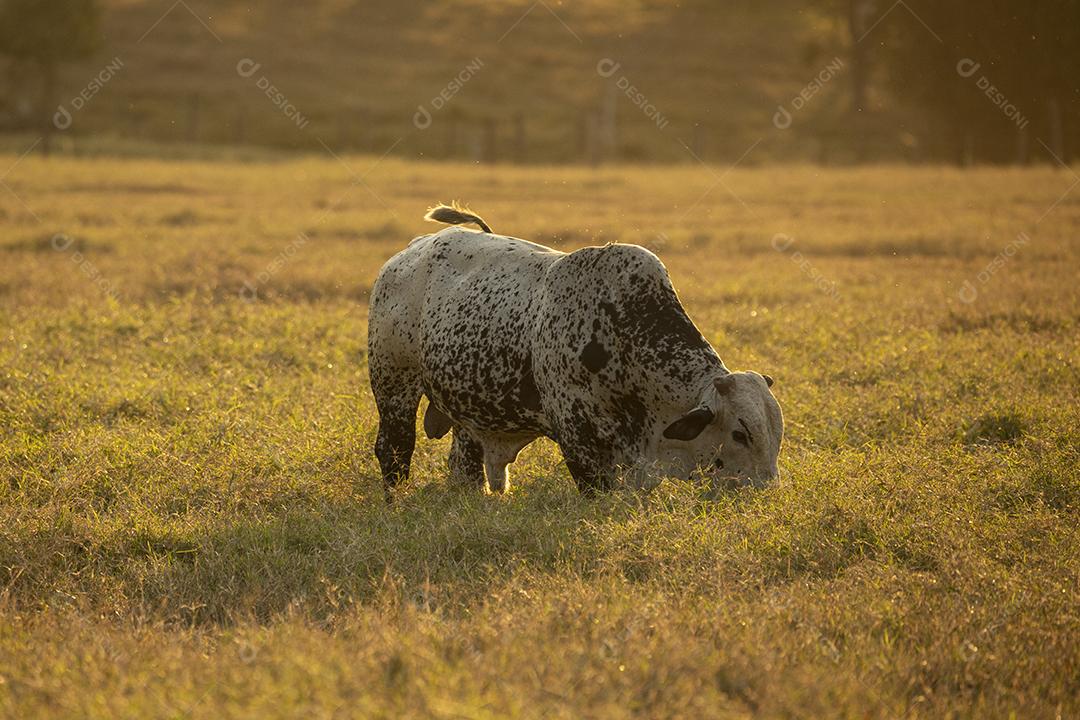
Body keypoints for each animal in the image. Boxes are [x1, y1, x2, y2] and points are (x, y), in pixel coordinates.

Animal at [367, 202, 781, 496]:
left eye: (776, 433)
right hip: (393, 385)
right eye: (740, 434)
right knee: (394, 450)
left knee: (465, 463)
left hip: (466, 410)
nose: (765, 489)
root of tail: (411, 251)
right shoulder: (576, 434)